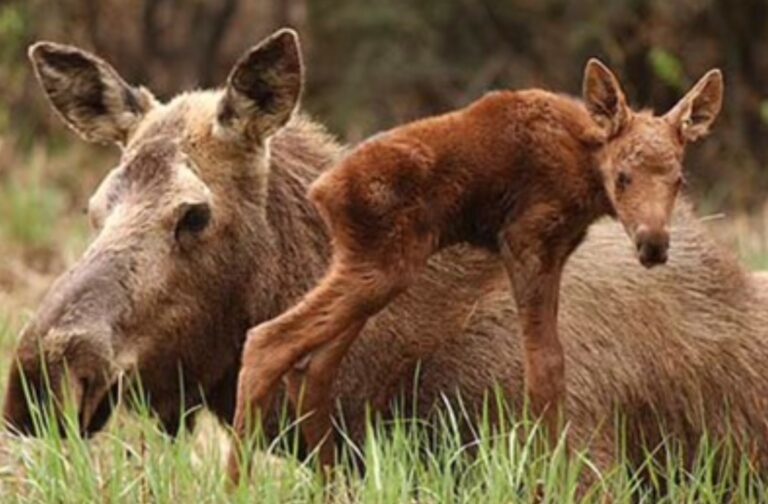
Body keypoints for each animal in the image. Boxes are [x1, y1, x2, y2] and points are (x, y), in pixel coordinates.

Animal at [230, 51, 723, 480]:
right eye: (622, 177)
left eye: (679, 179)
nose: (653, 244)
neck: (584, 170)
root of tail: (321, 190)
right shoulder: (526, 240)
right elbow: (545, 369)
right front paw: (550, 480)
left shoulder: (555, 250)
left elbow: (549, 368)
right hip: (383, 265)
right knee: (267, 341)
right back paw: (238, 483)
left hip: (368, 267)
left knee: (311, 367)